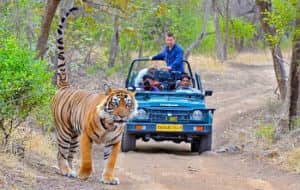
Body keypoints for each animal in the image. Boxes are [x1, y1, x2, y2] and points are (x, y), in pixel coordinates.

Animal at [51, 7, 137, 184]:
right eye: (115, 103)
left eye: (127, 105)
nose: (122, 116)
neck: (111, 124)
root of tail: (64, 87)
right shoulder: (86, 136)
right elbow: (87, 159)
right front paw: (84, 174)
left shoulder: (114, 142)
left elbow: (111, 161)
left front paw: (108, 178)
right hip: (64, 131)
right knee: (61, 152)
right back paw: (66, 171)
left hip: (74, 135)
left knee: (69, 154)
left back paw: (71, 170)